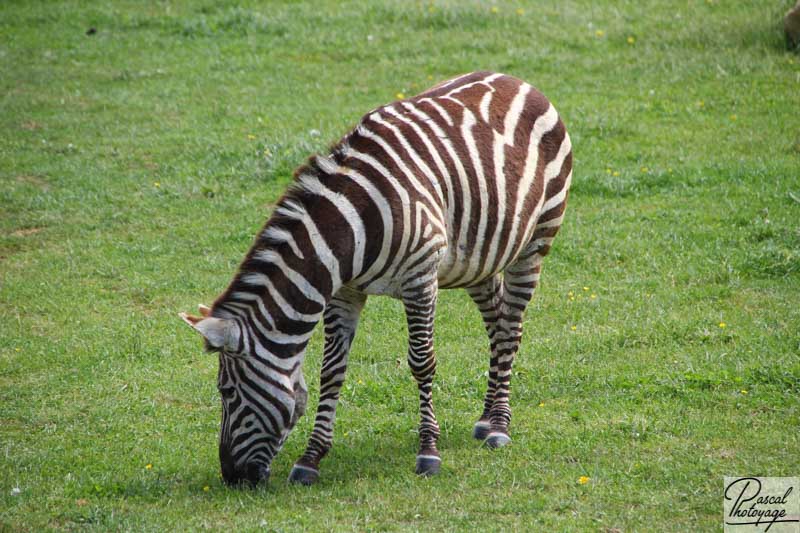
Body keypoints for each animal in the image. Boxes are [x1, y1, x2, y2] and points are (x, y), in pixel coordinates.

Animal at [178, 71, 572, 486]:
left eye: (226, 391)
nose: (232, 477)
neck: (350, 231)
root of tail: (515, 79)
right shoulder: (343, 293)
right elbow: (331, 370)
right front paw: (310, 459)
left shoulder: (420, 280)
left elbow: (422, 362)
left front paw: (428, 452)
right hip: (477, 257)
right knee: (497, 323)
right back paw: (485, 418)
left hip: (535, 241)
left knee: (511, 327)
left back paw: (498, 426)